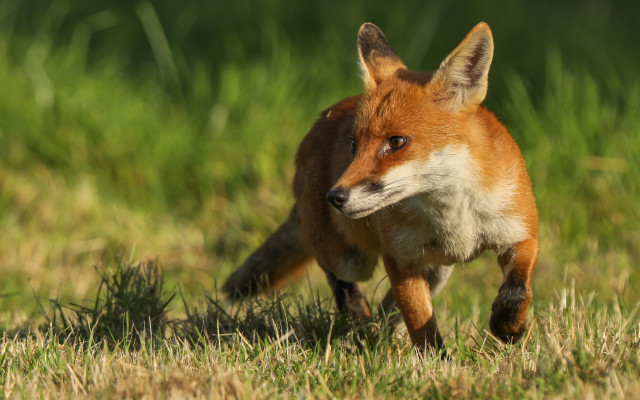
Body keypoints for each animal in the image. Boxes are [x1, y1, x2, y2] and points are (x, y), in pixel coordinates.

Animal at [223, 21, 538, 352]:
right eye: (353, 144)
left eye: (396, 142)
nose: (334, 197)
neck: (455, 215)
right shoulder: (400, 259)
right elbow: (421, 324)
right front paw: (437, 360)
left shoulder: (519, 233)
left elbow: (518, 289)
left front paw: (509, 326)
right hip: (351, 260)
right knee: (339, 280)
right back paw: (359, 322)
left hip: (437, 272)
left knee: (387, 308)